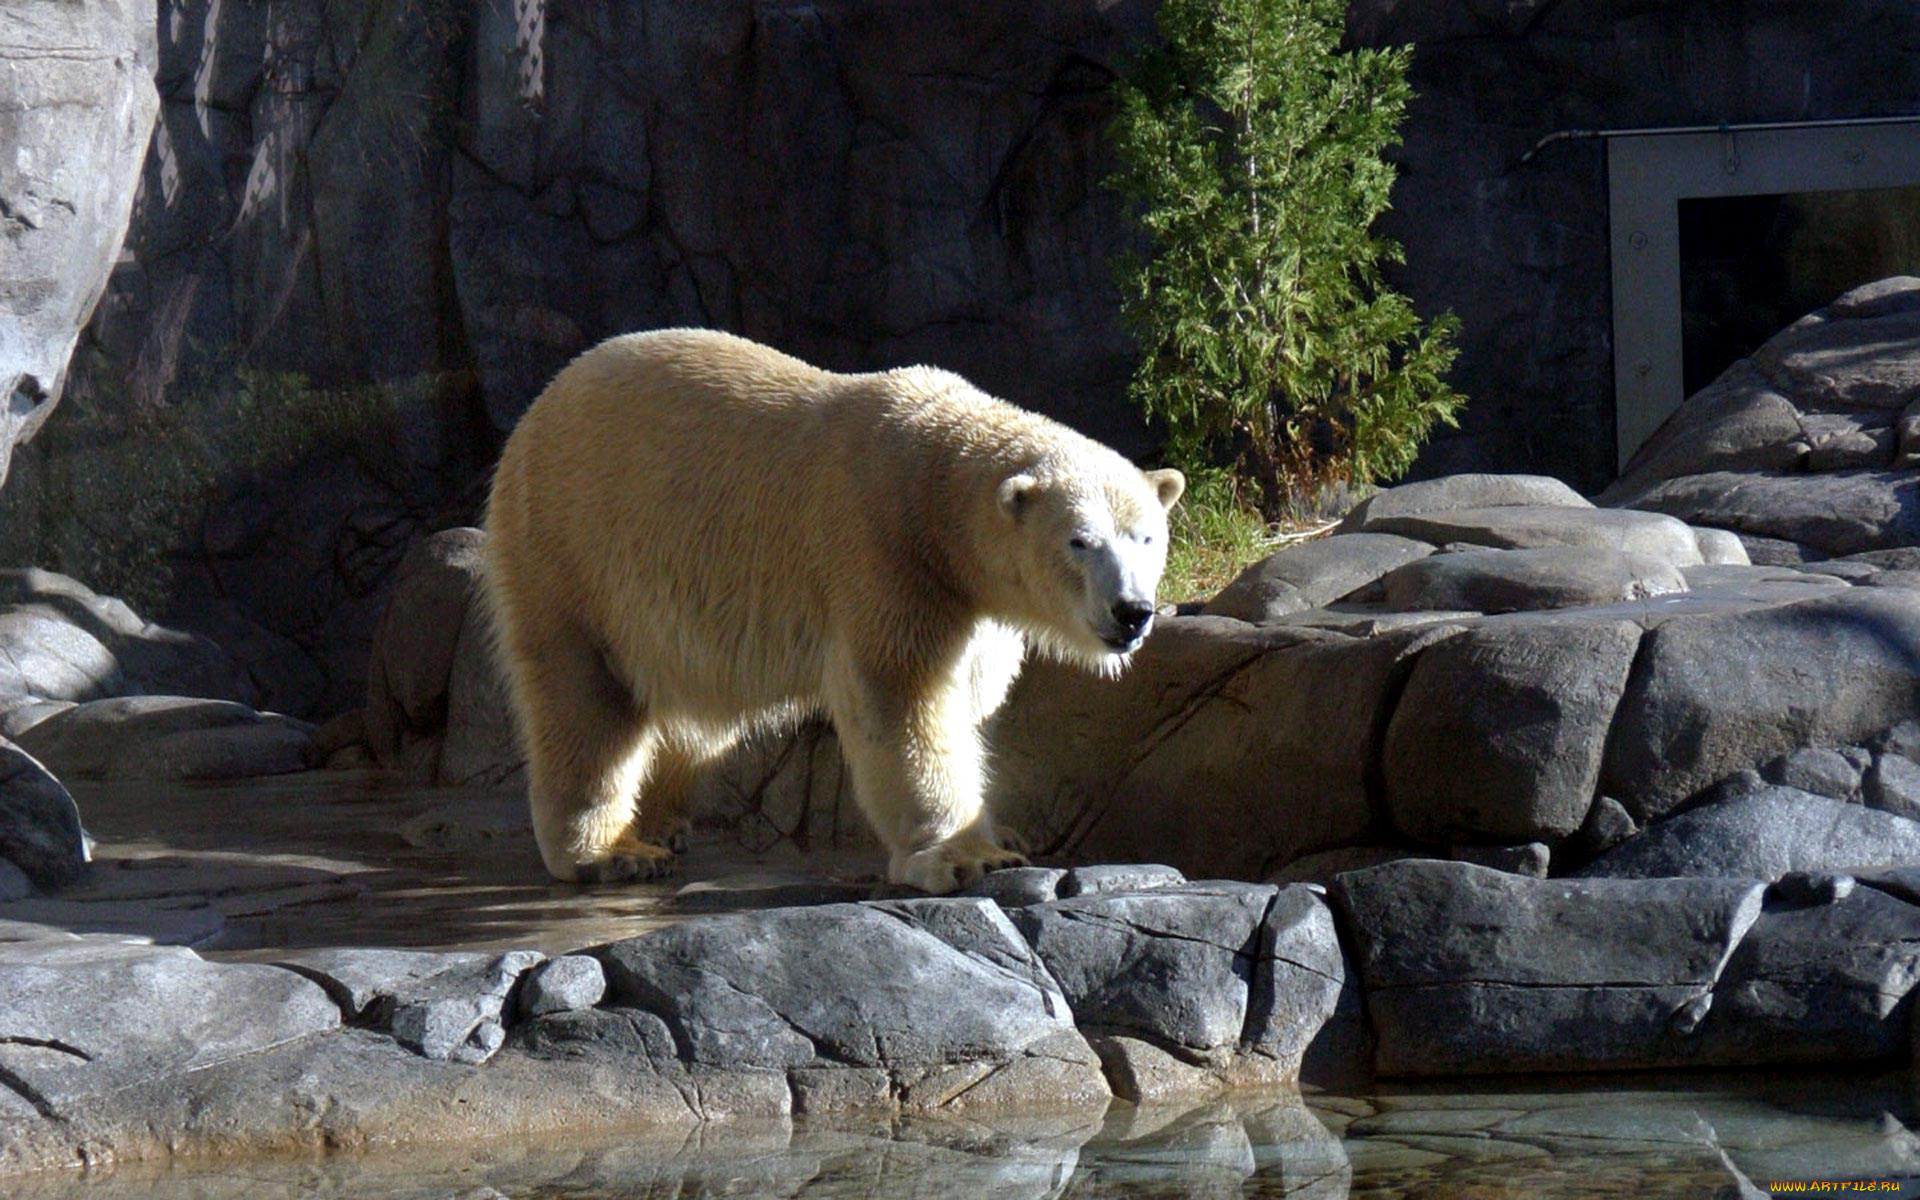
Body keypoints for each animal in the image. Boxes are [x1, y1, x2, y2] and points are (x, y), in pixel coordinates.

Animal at [482, 328, 1184, 893]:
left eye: (1147, 537)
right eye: (1080, 541)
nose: (1133, 612)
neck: (933, 485)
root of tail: (534, 413)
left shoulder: (973, 602)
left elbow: (971, 694)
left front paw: (1000, 835)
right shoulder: (884, 552)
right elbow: (901, 699)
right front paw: (966, 857)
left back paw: (663, 822)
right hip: (572, 549)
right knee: (586, 700)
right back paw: (611, 852)